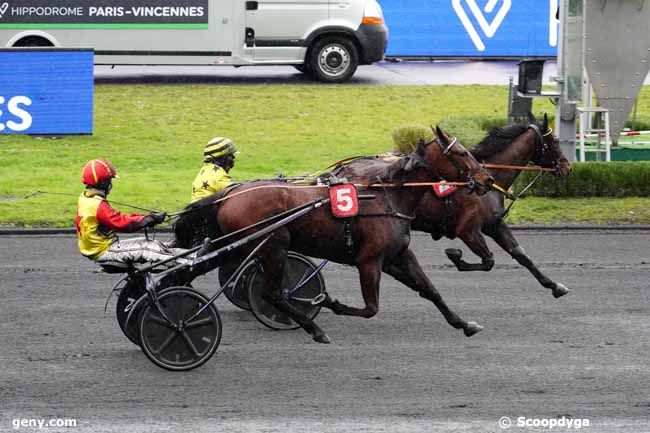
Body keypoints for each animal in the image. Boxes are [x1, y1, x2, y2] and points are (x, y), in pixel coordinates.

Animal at [172, 126, 492, 342]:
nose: (486, 179)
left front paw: (464, 325)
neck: (388, 197)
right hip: (273, 244)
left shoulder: (396, 256)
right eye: (462, 153)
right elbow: (370, 308)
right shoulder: (369, 261)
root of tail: (230, 194)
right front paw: (327, 301)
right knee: (271, 293)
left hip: (239, 244)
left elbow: (430, 290)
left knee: (197, 267)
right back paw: (314, 329)